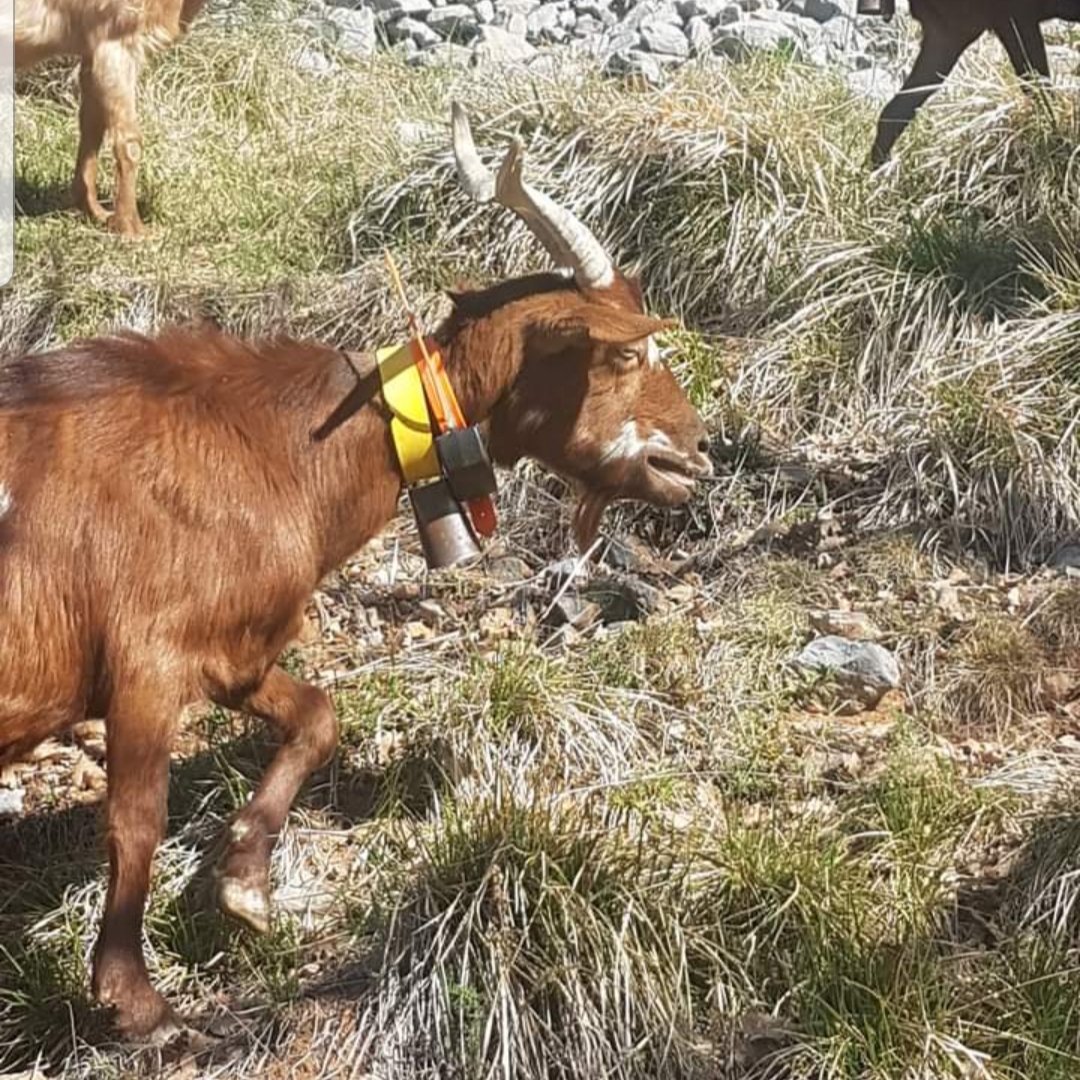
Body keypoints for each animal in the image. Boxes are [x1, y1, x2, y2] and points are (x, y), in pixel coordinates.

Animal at [0, 103, 712, 1040]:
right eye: (626, 356)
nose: (698, 452)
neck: (276, 448)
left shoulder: (235, 648)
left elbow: (317, 717)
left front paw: (243, 884)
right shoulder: (146, 661)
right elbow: (135, 820)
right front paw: (135, 998)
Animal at [14, 0, 209, 236]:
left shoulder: (92, 49)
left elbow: (92, 127)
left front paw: (96, 212)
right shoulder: (117, 42)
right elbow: (130, 142)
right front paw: (132, 228)